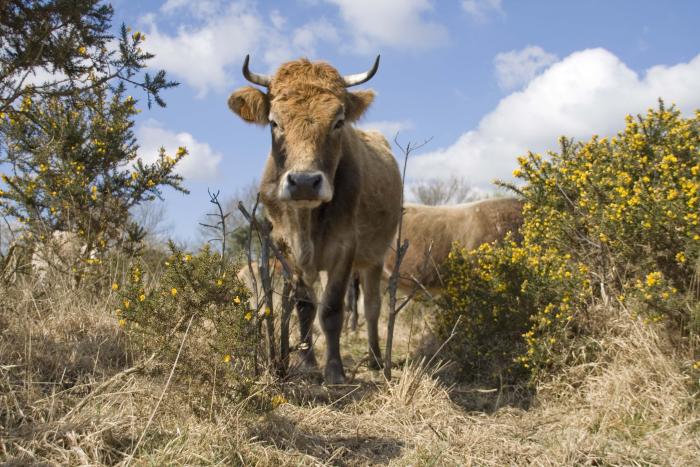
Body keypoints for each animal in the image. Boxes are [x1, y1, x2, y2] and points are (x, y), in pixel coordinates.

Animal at [224, 55, 400, 384]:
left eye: (338, 121)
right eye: (274, 122)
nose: (304, 182)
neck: (305, 220)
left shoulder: (345, 249)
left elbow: (330, 310)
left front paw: (334, 370)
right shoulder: (286, 249)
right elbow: (304, 307)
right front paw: (307, 362)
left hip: (375, 257)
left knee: (372, 306)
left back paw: (375, 359)